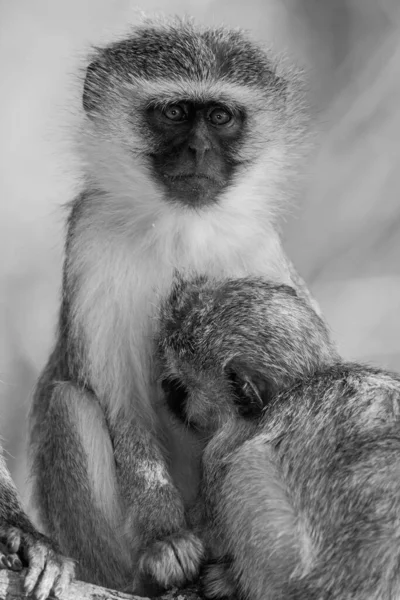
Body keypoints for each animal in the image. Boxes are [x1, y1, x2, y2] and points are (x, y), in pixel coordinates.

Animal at [29, 15, 318, 596]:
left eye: (222, 116)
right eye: (176, 113)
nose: (200, 152)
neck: (183, 224)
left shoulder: (256, 242)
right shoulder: (91, 240)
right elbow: (118, 403)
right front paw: (166, 540)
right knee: (68, 402)